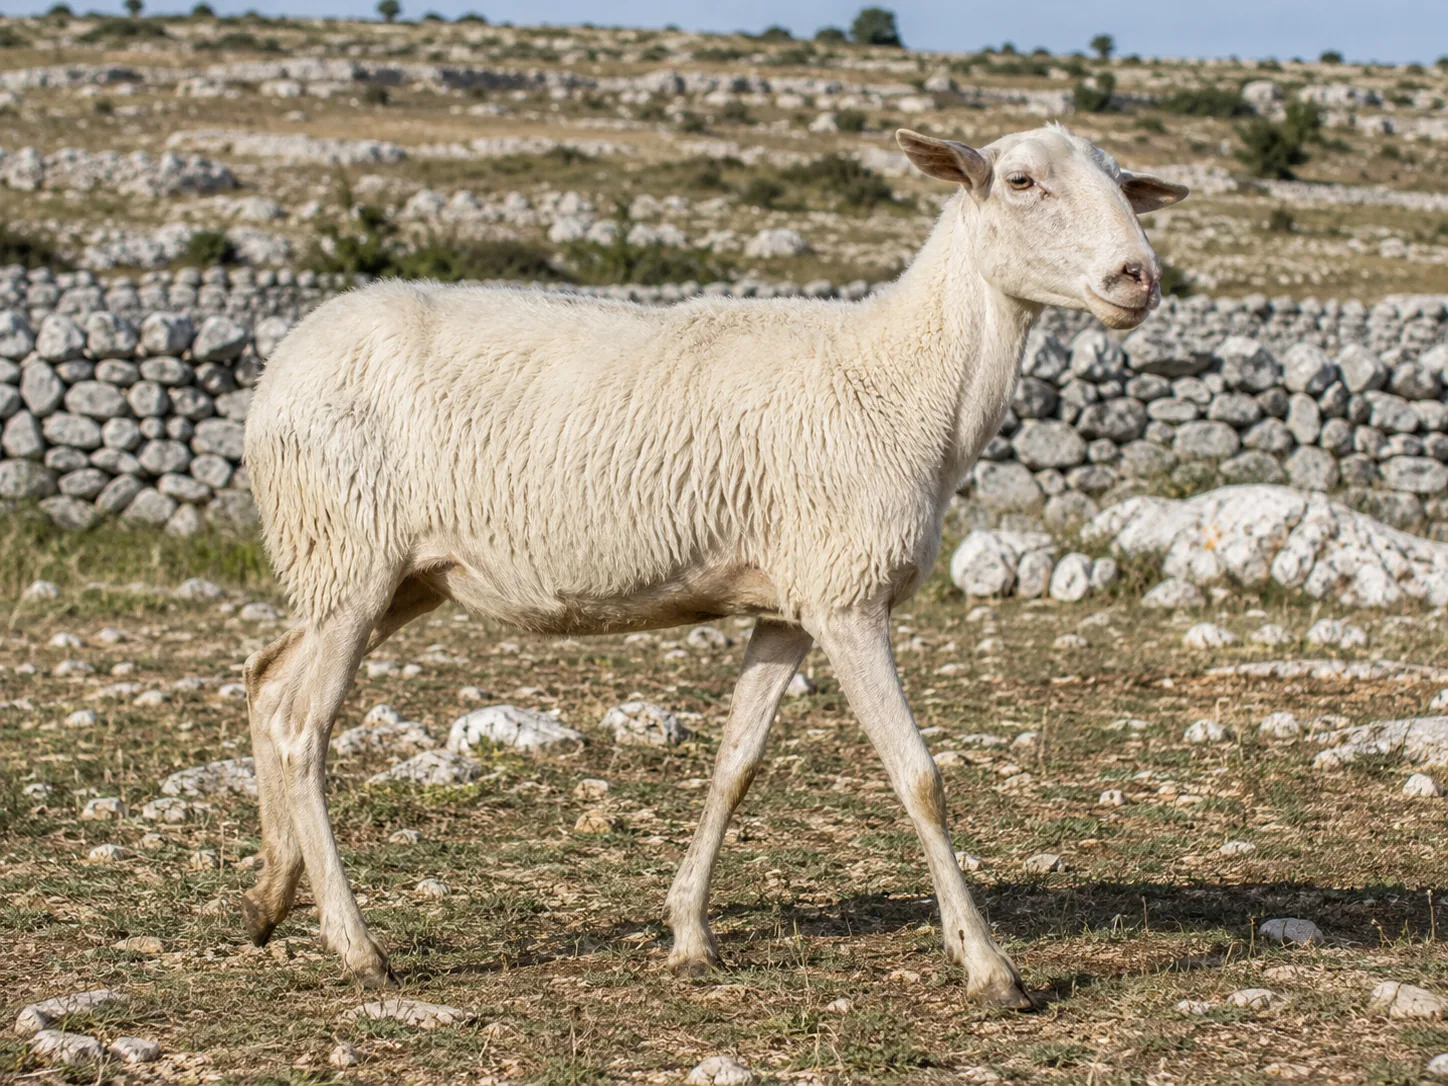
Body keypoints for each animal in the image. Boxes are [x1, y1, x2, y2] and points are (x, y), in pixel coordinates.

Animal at [239, 124, 1187, 1007]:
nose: (1139, 278)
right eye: (1022, 181)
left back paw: (269, 898)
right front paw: (989, 966)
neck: (902, 382)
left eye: (1123, 180)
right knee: (301, 729)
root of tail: (275, 372)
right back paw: (356, 946)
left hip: (386, 576)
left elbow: (737, 765)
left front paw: (691, 933)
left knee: (266, 679)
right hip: (348, 556)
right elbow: (920, 779)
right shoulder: (847, 598)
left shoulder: (786, 607)